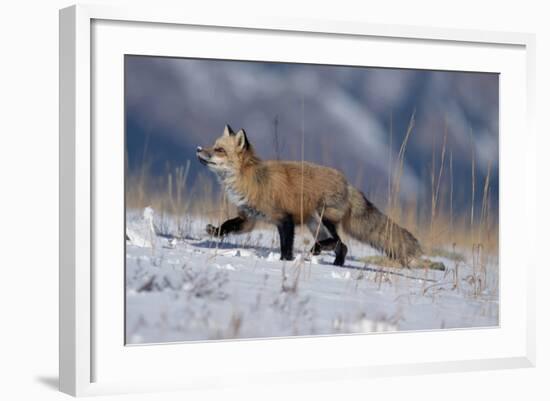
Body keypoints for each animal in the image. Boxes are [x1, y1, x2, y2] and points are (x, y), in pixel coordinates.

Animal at [198, 123, 422, 264]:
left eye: (219, 150)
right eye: (213, 145)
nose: (199, 149)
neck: (252, 179)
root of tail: (348, 184)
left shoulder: (284, 219)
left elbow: (286, 246)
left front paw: (284, 262)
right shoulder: (249, 219)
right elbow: (228, 224)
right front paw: (215, 231)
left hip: (322, 217)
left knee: (338, 242)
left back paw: (319, 249)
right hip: (315, 224)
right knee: (342, 246)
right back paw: (335, 264)